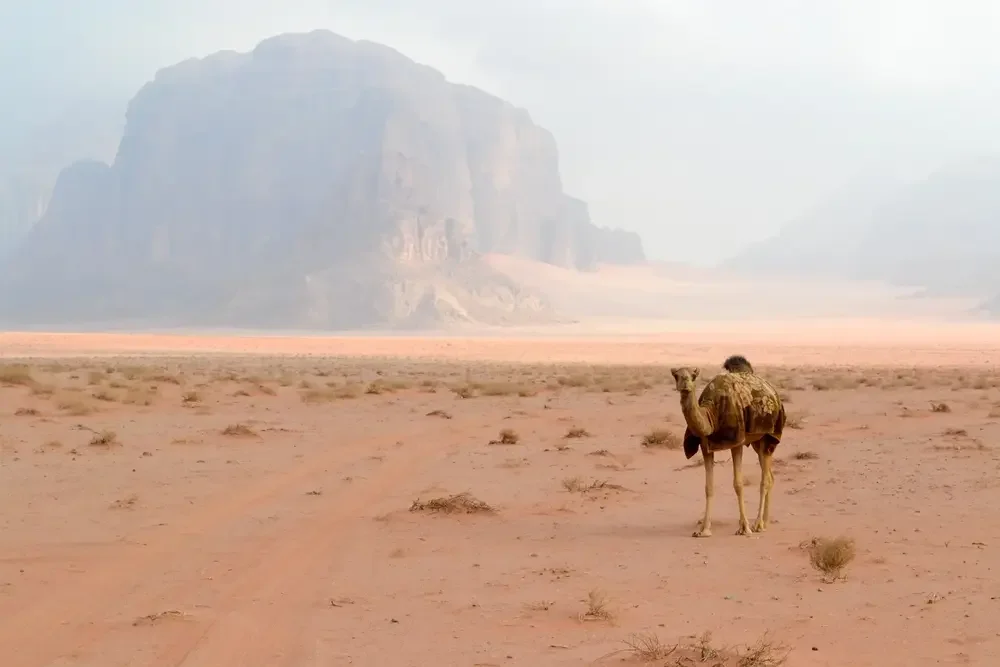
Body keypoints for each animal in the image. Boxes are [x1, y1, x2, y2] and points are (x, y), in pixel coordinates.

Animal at [670, 355, 786, 538]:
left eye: (693, 376)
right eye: (677, 376)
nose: (685, 384)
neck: (711, 415)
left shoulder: (736, 442)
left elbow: (738, 484)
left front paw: (744, 528)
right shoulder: (706, 446)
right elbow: (708, 487)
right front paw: (704, 530)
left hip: (769, 435)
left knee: (765, 479)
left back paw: (758, 524)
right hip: (756, 441)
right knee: (770, 476)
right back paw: (765, 522)